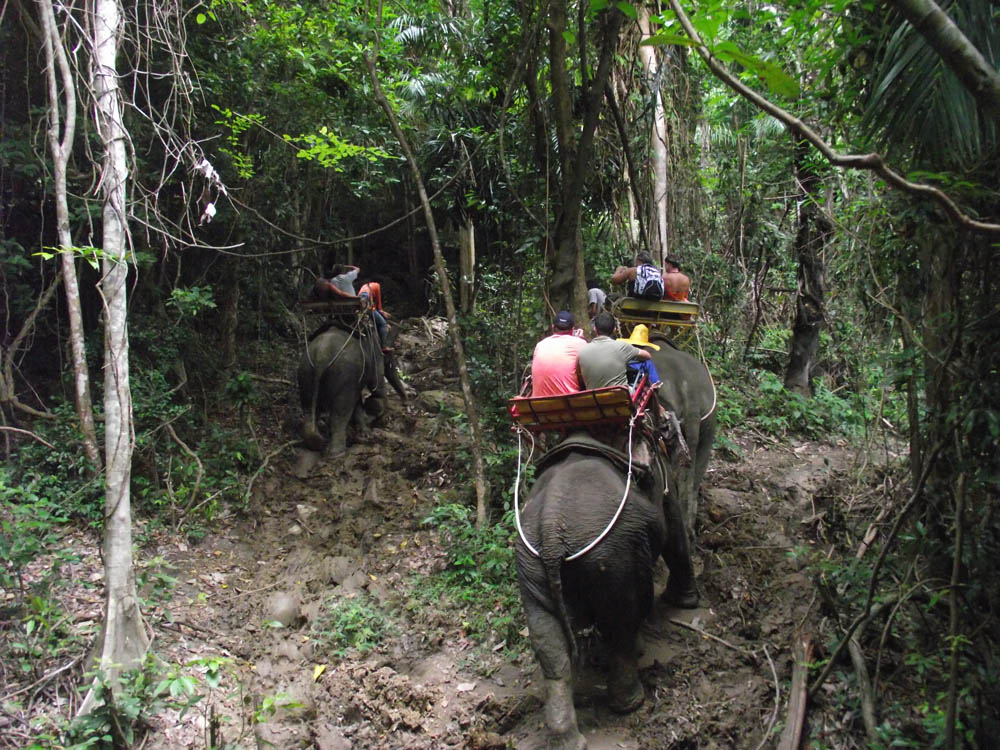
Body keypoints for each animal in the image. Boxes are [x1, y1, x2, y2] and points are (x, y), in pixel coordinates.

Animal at [516, 434, 696, 750]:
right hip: (612, 554)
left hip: (531, 564)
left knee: (550, 645)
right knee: (621, 620)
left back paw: (569, 739)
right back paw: (631, 703)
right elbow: (673, 528)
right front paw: (686, 603)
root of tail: (551, 528)